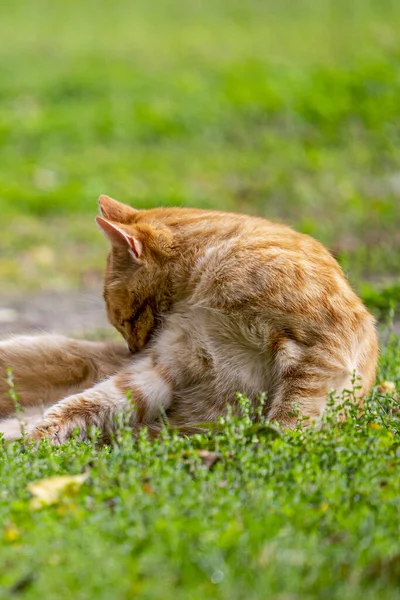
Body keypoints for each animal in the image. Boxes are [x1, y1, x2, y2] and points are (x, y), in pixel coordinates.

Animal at [0, 195, 378, 442]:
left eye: (126, 319)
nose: (133, 351)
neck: (204, 281)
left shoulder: (317, 350)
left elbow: (292, 417)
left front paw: (274, 446)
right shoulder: (170, 364)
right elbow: (86, 403)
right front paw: (40, 435)